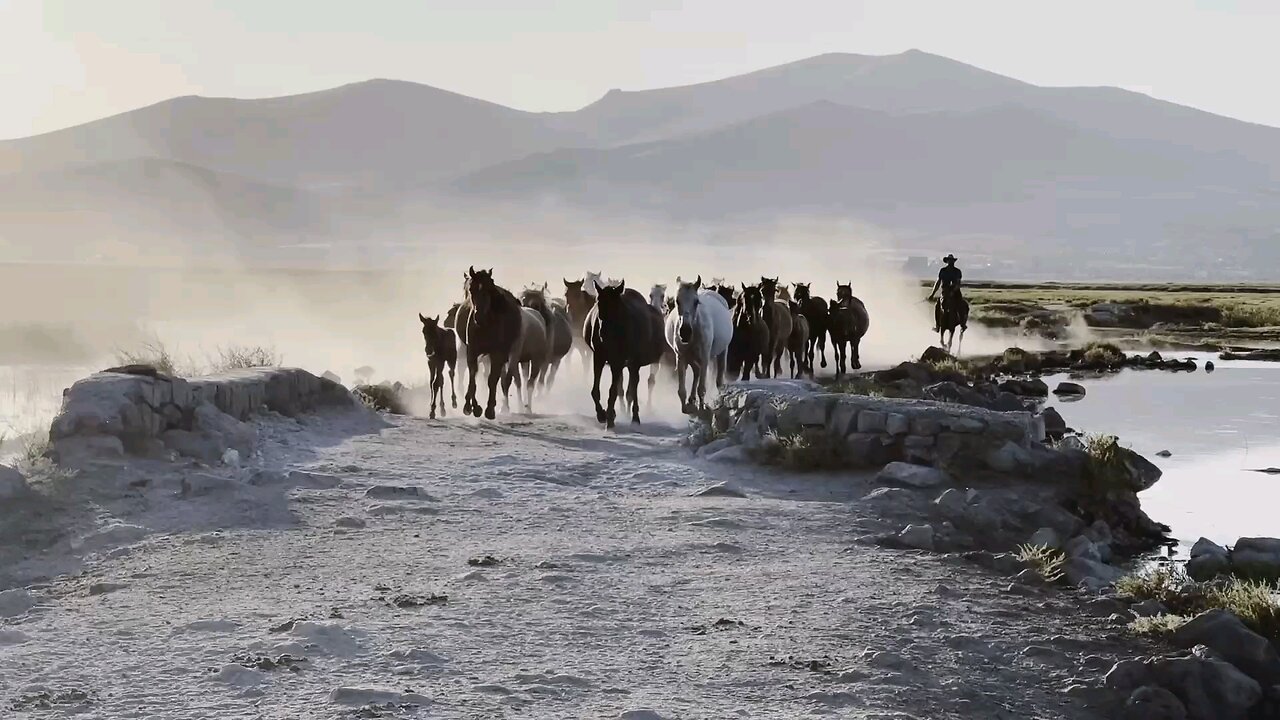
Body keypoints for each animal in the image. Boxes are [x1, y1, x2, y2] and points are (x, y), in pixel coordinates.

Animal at [460, 266, 545, 417]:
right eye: (471, 289)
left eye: (489, 289)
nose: (479, 317)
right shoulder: (473, 352)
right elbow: (473, 377)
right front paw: (471, 407)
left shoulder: (497, 354)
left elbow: (493, 380)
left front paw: (489, 409)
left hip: (529, 358)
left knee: (522, 381)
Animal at [586, 280, 670, 425]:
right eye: (598, 303)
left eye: (615, 306)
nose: (603, 333)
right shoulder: (600, 356)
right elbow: (597, 390)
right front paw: (602, 414)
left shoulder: (621, 361)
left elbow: (616, 390)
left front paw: (610, 417)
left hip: (633, 363)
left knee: (633, 387)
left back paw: (634, 415)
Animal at [665, 272, 737, 412]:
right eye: (677, 301)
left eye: (696, 302)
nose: (685, 332)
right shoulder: (681, 357)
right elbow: (682, 390)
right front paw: (686, 406)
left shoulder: (704, 358)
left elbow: (702, 387)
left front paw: (702, 407)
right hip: (691, 358)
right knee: (696, 372)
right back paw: (692, 399)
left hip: (721, 353)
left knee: (718, 379)